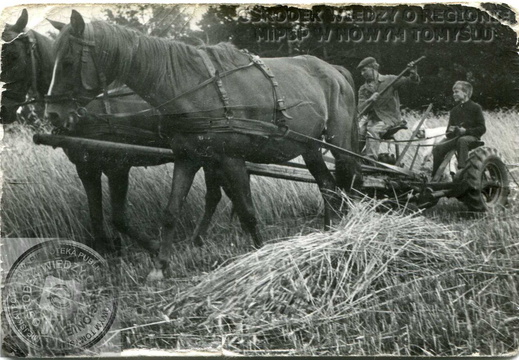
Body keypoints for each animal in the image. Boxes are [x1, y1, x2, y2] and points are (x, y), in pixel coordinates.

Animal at [45, 9, 362, 282]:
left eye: (69, 61)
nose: (52, 114)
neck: (192, 88)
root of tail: (335, 70)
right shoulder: (188, 157)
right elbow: (171, 211)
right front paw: (160, 266)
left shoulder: (231, 158)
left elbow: (247, 211)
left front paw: (260, 255)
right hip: (309, 147)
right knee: (328, 187)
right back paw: (327, 233)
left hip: (338, 142)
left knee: (345, 181)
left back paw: (347, 232)